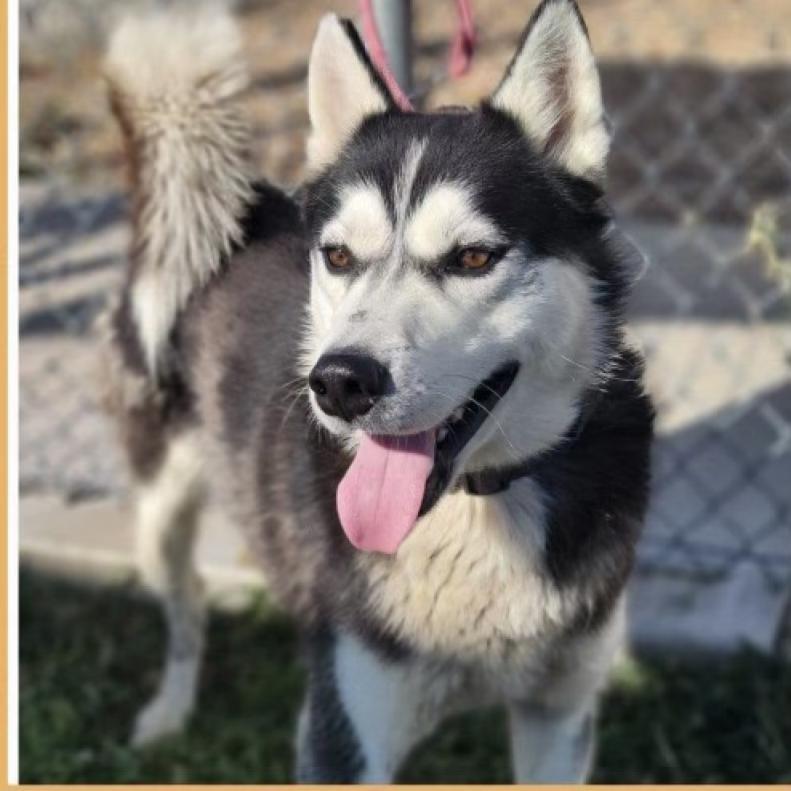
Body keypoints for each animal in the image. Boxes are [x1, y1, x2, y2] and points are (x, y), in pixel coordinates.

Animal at [102, 0, 652, 780]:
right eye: (337, 256)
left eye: (472, 257)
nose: (339, 381)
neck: (478, 508)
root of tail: (233, 207)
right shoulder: (343, 730)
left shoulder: (558, 717)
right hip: (160, 509)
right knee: (187, 606)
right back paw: (170, 711)